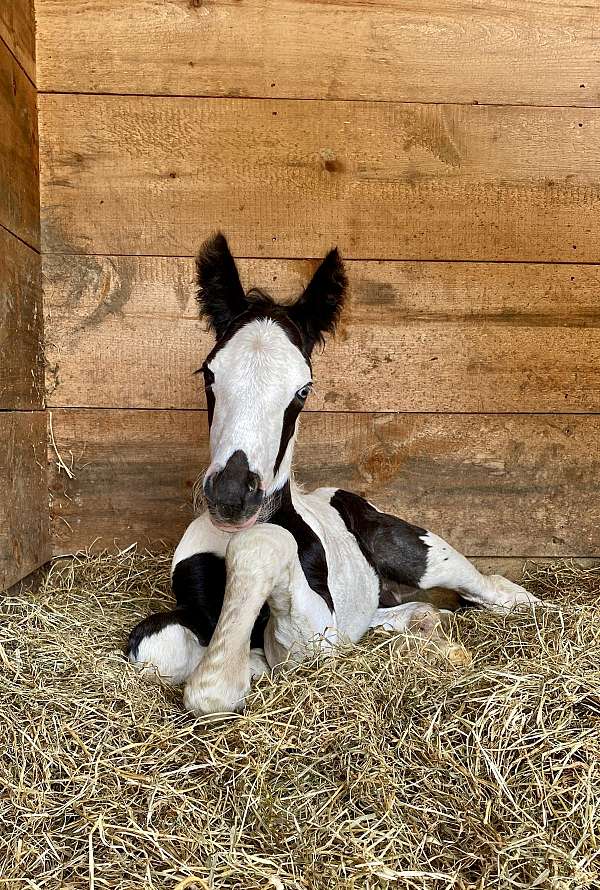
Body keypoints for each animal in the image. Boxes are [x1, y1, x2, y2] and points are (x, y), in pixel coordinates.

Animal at [127, 234, 540, 716]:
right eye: (208, 373)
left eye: (303, 390)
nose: (232, 496)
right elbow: (155, 645)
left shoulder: (317, 632)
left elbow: (267, 552)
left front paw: (228, 676)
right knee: (402, 613)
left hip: (420, 555)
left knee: (488, 587)